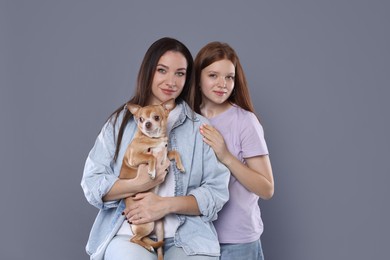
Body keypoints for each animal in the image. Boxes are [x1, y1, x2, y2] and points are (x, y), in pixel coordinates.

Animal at [119, 98, 184, 260]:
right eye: (140, 119)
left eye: (156, 117)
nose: (147, 124)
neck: (153, 138)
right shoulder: (135, 157)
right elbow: (151, 157)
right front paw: (152, 172)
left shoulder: (166, 155)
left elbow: (175, 152)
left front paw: (181, 166)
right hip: (146, 225)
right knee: (134, 239)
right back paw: (147, 246)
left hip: (159, 228)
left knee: (157, 246)